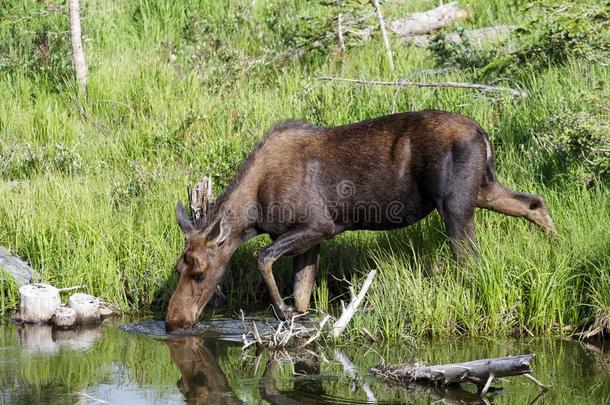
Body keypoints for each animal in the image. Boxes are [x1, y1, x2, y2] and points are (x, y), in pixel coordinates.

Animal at [164, 109, 552, 332]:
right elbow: (302, 291)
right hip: (482, 189)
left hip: (455, 206)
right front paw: (298, 318)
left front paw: (283, 313)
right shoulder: (312, 239)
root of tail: (483, 134)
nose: (173, 321)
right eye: (178, 268)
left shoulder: (318, 225)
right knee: (534, 202)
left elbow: (264, 259)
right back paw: (555, 243)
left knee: (471, 259)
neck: (253, 213)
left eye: (199, 273)